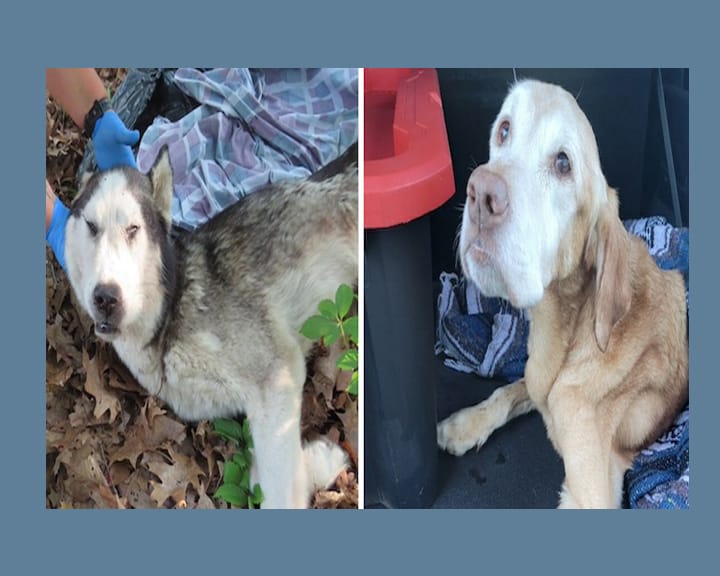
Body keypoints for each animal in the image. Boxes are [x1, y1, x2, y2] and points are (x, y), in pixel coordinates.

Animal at [64, 144, 358, 508]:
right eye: (91, 225)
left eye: (133, 229)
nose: (106, 297)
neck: (168, 318)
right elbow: (267, 474)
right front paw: (319, 460)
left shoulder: (278, 376)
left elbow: (277, 491)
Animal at [436, 80, 688, 508]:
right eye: (504, 129)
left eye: (563, 164)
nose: (480, 192)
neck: (571, 325)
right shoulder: (535, 378)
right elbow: (506, 391)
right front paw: (466, 425)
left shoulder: (591, 489)